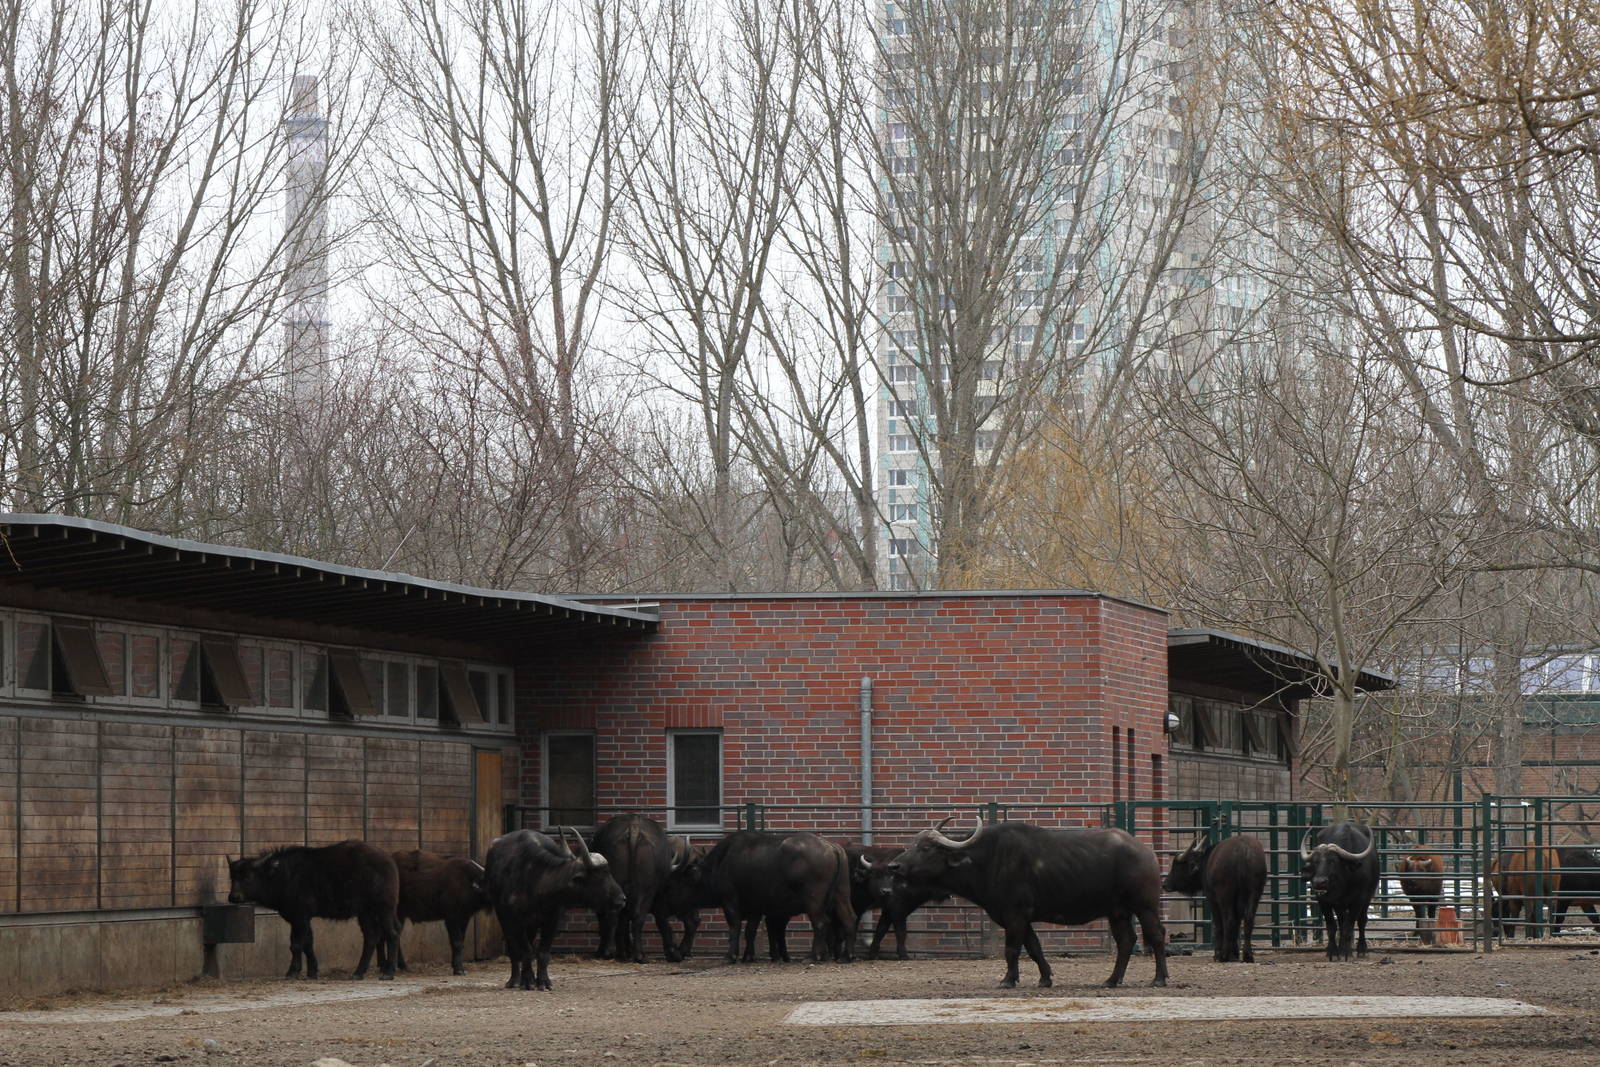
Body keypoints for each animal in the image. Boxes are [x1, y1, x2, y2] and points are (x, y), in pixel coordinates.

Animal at [227, 839, 400, 980]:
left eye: (247, 877)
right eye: (232, 877)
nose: (234, 897)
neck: (284, 875)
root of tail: (389, 860)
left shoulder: (299, 917)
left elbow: (296, 944)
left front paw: (292, 972)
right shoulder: (302, 919)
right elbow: (308, 944)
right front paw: (312, 972)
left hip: (384, 909)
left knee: (392, 934)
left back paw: (388, 972)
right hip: (365, 912)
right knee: (371, 937)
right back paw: (358, 972)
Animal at [483, 827, 626, 990]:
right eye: (599, 876)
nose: (622, 899)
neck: (536, 880)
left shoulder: (553, 919)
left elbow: (543, 953)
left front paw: (543, 982)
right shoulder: (515, 920)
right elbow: (526, 951)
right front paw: (529, 981)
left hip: (531, 925)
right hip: (503, 917)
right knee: (514, 949)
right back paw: (515, 980)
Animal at [888, 816, 1168, 989]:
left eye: (925, 848)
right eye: (913, 844)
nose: (894, 866)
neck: (987, 860)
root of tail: (1146, 852)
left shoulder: (1015, 915)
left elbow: (1012, 949)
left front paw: (1007, 980)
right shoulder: (1021, 918)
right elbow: (1033, 948)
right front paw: (1045, 979)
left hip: (1145, 906)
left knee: (1156, 935)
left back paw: (1159, 979)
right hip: (1117, 911)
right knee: (1126, 941)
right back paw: (1111, 980)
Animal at [1162, 832, 1266, 963]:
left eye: (1177, 866)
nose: (1165, 884)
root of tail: (1244, 849)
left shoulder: (1212, 898)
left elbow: (1219, 925)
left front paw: (1219, 954)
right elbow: (1237, 925)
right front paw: (1235, 953)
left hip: (1225, 895)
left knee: (1228, 920)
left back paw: (1224, 955)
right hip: (1255, 893)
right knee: (1248, 919)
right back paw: (1248, 955)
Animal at [1299, 821, 1379, 961]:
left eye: (1333, 861)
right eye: (1315, 861)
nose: (1319, 882)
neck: (1344, 881)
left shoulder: (1359, 900)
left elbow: (1350, 925)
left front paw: (1346, 952)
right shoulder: (1325, 901)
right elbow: (1332, 926)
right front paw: (1333, 952)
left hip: (1368, 896)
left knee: (1361, 920)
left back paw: (1361, 950)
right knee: (1342, 923)